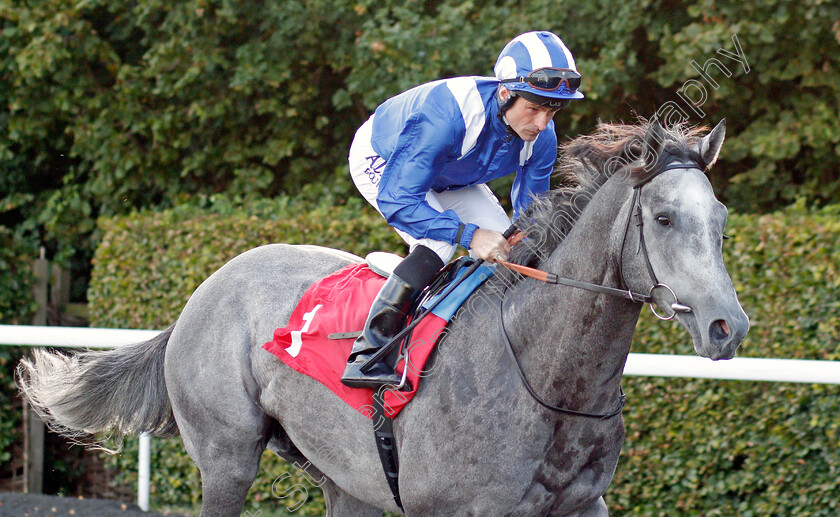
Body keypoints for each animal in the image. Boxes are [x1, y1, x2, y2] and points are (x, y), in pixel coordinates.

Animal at [16, 119, 748, 512]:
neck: (542, 369)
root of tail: (205, 289)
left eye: (720, 217)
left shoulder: (583, 503)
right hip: (226, 456)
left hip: (348, 476)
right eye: (663, 217)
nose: (727, 326)